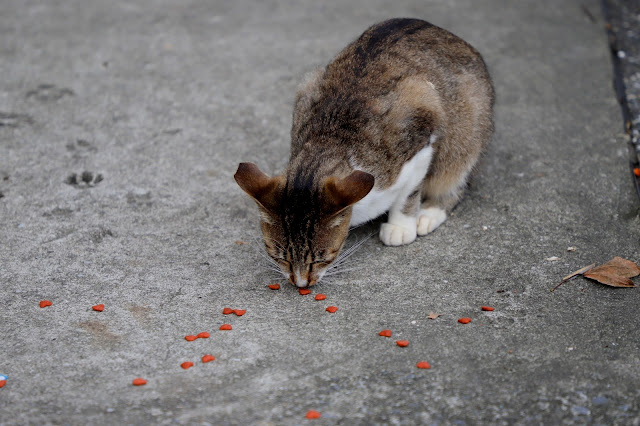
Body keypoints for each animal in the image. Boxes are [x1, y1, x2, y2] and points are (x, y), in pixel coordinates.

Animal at [235, 18, 496, 288]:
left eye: (321, 258)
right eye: (279, 256)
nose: (301, 283)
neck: (328, 144)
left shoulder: (422, 126)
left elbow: (409, 192)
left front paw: (401, 226)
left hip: (466, 137)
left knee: (455, 181)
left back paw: (429, 213)